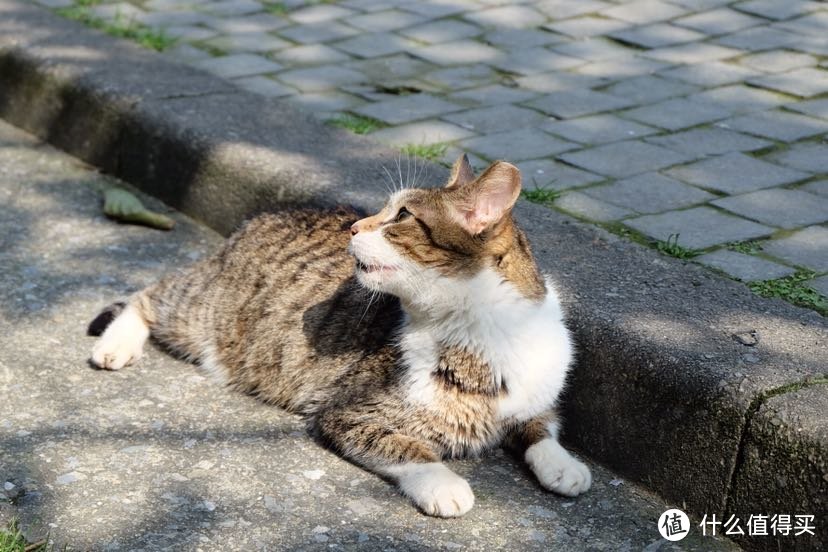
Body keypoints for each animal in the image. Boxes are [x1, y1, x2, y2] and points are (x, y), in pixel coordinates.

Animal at [89, 155, 588, 516]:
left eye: (401, 216)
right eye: (385, 209)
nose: (354, 225)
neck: (484, 328)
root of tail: (254, 220)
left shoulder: (536, 395)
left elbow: (542, 426)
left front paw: (563, 465)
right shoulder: (348, 414)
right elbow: (409, 448)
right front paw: (446, 486)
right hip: (201, 313)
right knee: (148, 294)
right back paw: (115, 345)